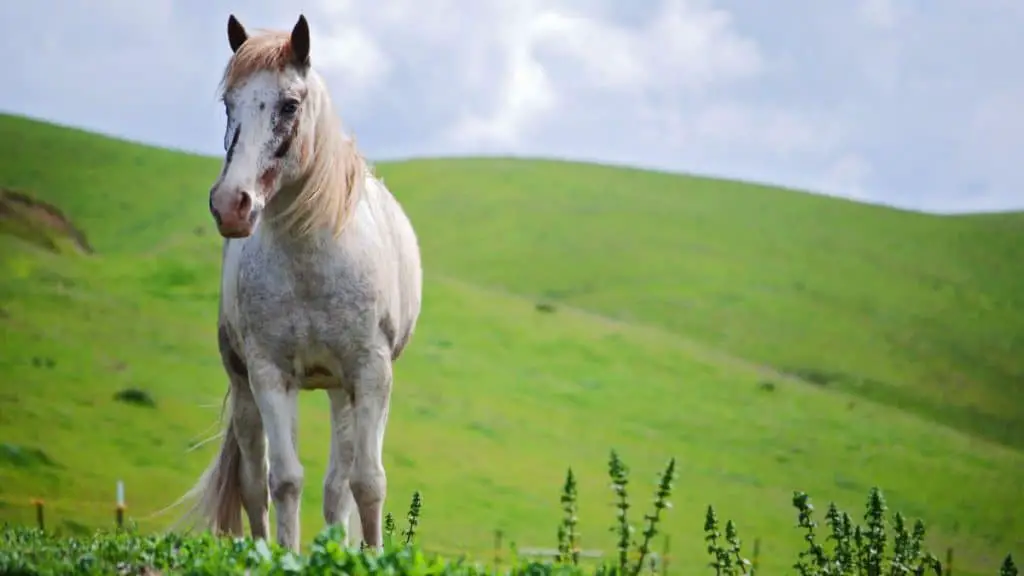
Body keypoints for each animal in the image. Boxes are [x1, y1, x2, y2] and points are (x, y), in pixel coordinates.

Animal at [174, 14, 421, 553]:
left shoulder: (370, 375)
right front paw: (284, 556)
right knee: (254, 481)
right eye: (229, 103)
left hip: (342, 391)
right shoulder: (269, 374)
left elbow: (367, 484)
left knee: (339, 487)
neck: (309, 265)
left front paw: (372, 555)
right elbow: (283, 480)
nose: (231, 205)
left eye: (289, 104)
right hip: (244, 383)